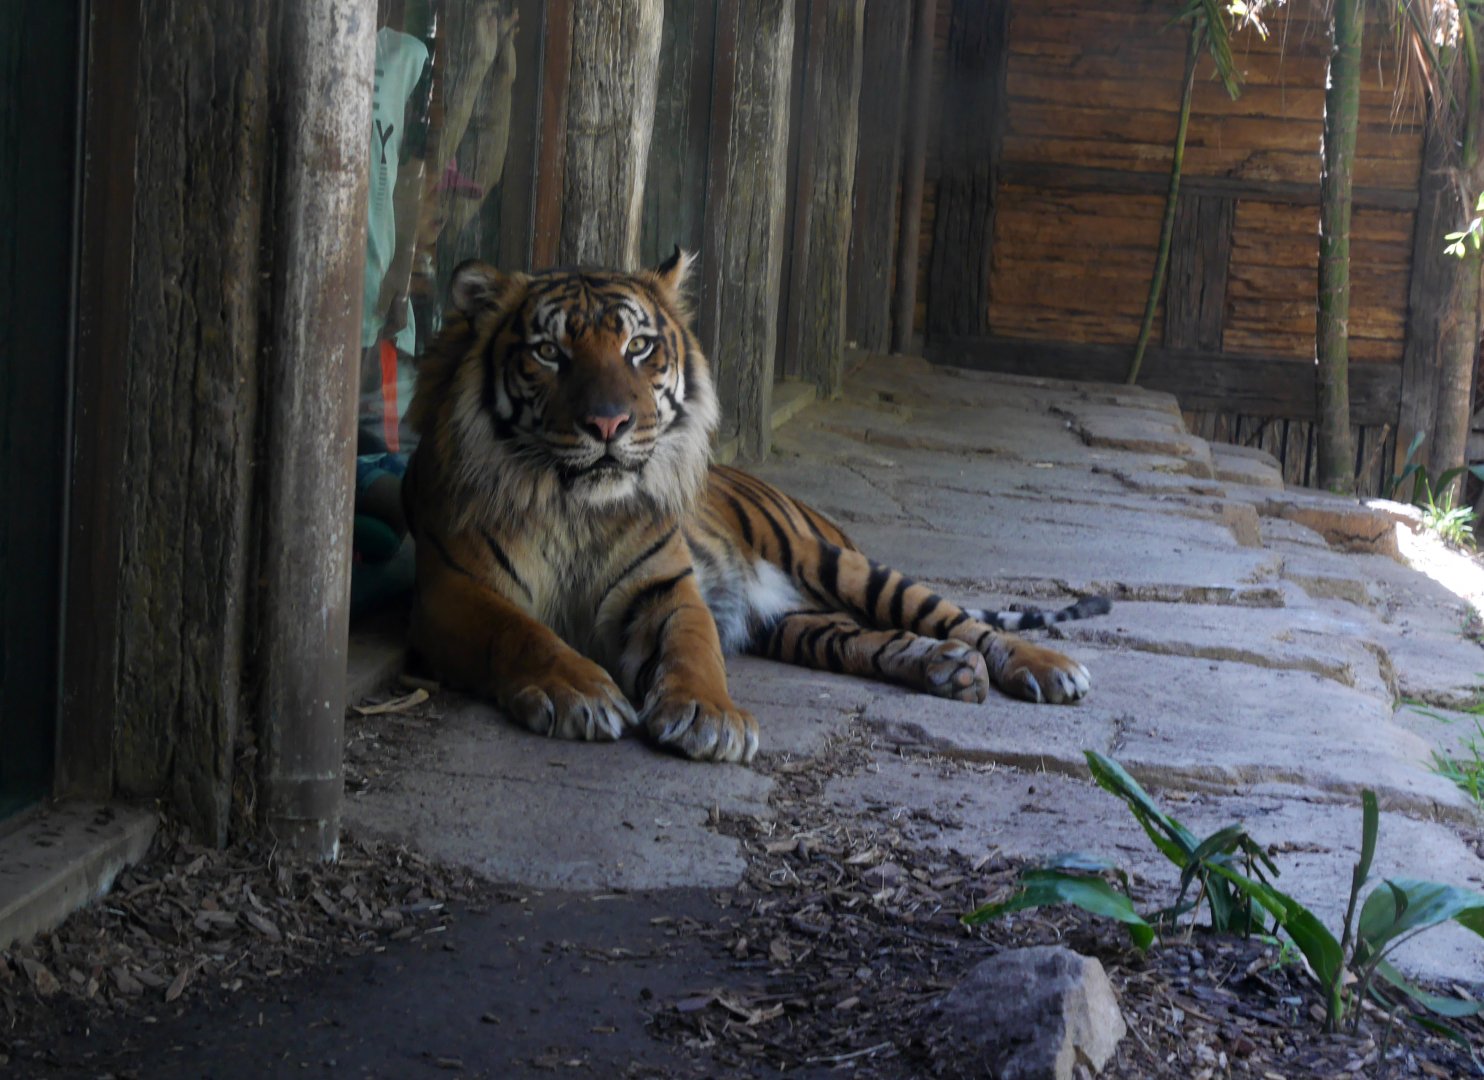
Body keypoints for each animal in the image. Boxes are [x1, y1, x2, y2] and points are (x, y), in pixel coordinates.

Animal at [400, 249, 1109, 764]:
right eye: (549, 352)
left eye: (638, 347)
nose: (609, 424)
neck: (578, 510)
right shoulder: (452, 590)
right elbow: (522, 632)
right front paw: (579, 690)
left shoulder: (667, 588)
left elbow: (694, 649)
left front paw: (711, 719)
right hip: (801, 624)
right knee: (874, 640)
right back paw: (946, 669)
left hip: (841, 565)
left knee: (962, 620)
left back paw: (1047, 670)